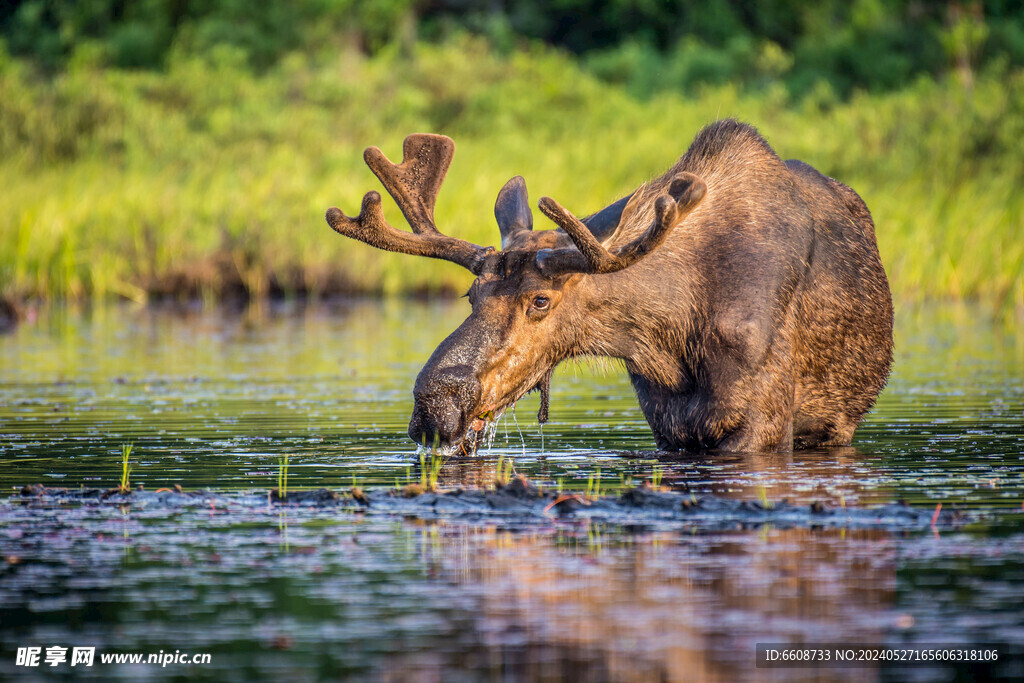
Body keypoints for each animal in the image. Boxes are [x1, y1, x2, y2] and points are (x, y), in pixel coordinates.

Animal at [323, 120, 892, 456]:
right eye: (471, 296)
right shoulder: (667, 423)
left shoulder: (762, 424)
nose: (434, 403)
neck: (673, 334)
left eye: (541, 300)